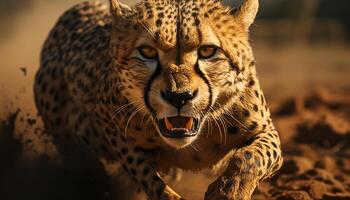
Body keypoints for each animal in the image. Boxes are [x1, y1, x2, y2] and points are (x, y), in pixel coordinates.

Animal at [34, 0, 284, 198]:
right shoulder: (114, 131)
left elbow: (251, 157)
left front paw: (229, 191)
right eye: (147, 51)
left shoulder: (266, 130)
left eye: (207, 51)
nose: (178, 97)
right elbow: (144, 173)